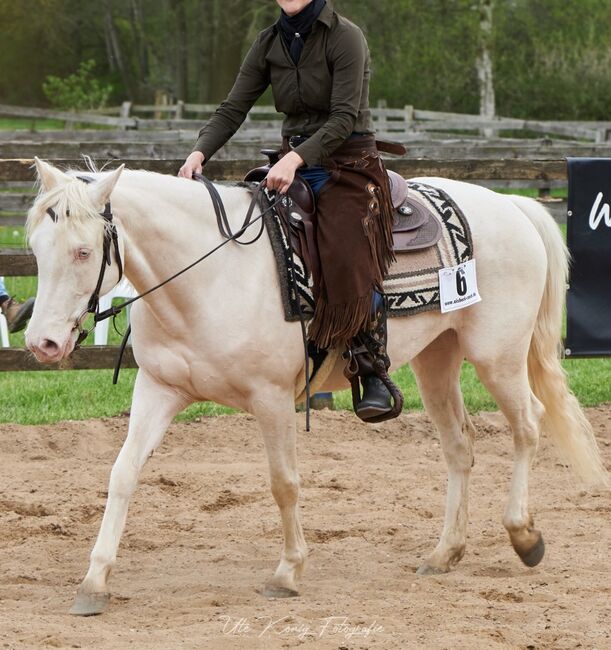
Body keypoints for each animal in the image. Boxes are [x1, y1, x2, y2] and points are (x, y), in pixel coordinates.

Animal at [23, 158, 608, 612]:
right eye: (35, 247)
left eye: (82, 251)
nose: (42, 343)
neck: (209, 274)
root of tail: (512, 205)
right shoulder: (158, 390)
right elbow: (122, 474)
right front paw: (94, 581)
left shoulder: (272, 398)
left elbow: (284, 484)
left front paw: (287, 572)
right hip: (437, 358)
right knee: (459, 446)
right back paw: (445, 553)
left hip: (498, 355)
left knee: (528, 425)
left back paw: (524, 534)